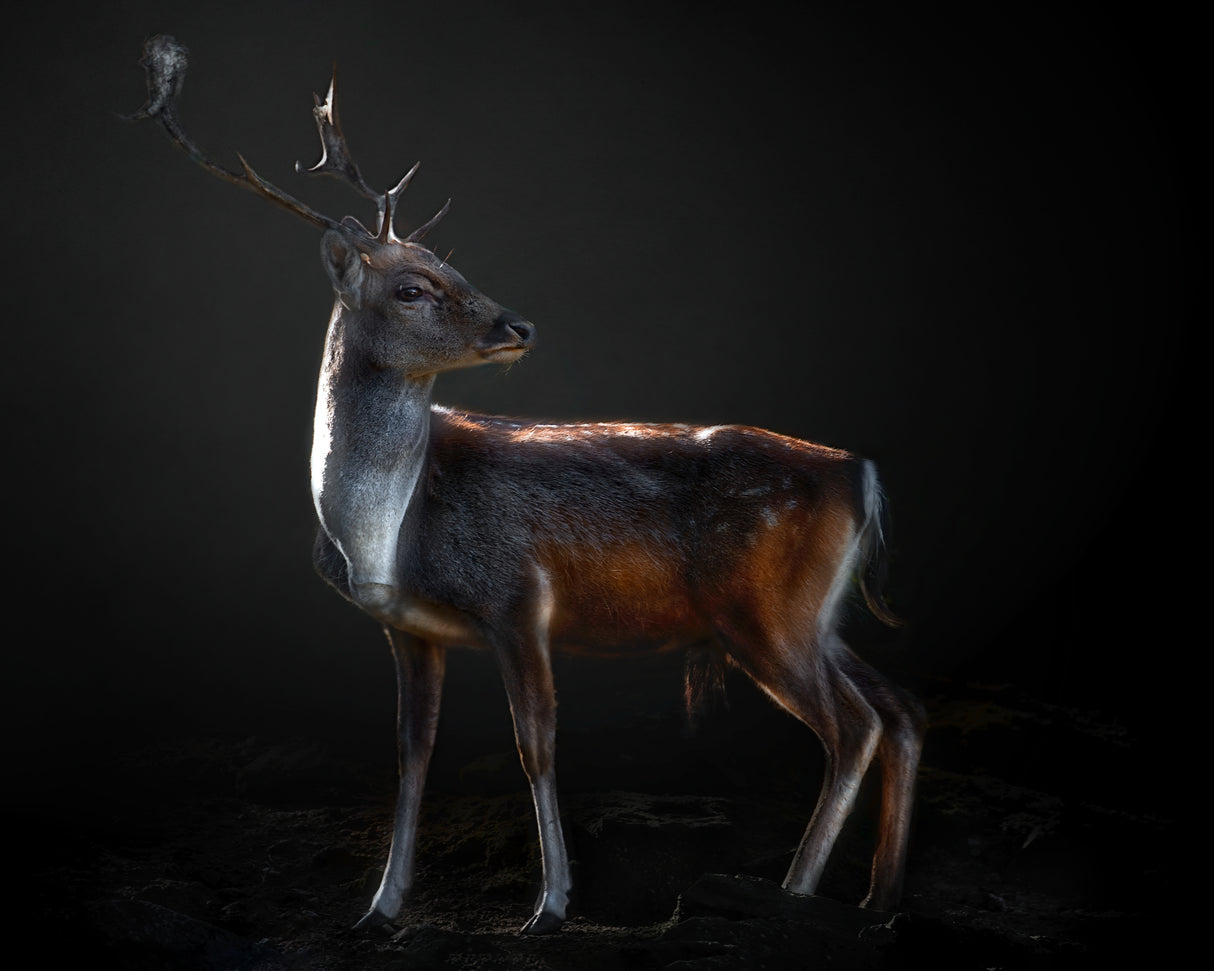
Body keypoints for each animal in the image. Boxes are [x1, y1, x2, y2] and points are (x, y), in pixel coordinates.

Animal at [128, 35, 926, 936]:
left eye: (454, 267)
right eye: (412, 286)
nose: (518, 325)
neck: (382, 535)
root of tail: (861, 472)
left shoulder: (518, 594)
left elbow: (535, 746)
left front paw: (549, 904)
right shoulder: (409, 628)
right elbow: (411, 755)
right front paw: (380, 906)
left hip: (766, 610)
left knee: (855, 724)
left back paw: (792, 892)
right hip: (812, 613)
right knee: (900, 708)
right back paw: (880, 899)